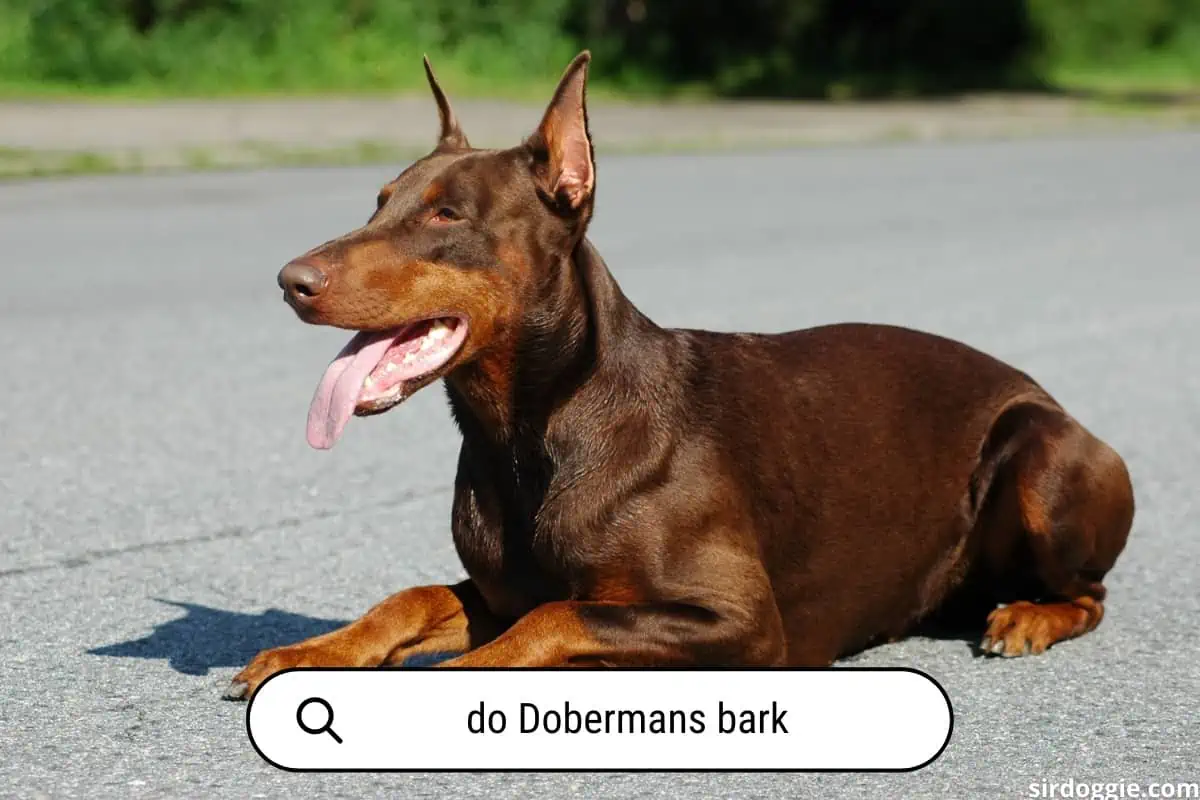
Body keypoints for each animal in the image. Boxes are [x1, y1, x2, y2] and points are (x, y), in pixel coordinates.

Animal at [225, 51, 1132, 700]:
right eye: (378, 201)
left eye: (447, 213)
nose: (290, 281)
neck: (535, 430)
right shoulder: (500, 587)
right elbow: (416, 598)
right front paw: (309, 652)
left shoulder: (741, 621)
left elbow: (557, 616)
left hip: (1040, 452)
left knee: (1090, 592)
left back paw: (1025, 617)